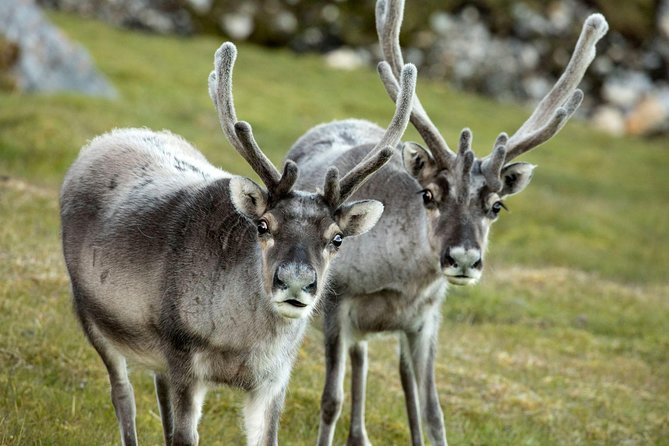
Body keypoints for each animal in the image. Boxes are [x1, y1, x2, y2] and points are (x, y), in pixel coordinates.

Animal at [59, 41, 417, 446]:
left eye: (337, 238)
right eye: (263, 225)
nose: (296, 282)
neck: (241, 345)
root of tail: (103, 140)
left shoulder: (273, 380)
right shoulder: (184, 357)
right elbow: (183, 435)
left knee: (158, 391)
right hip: (90, 315)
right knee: (123, 394)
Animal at [285, 1, 608, 445]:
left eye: (496, 206)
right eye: (429, 195)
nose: (464, 259)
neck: (399, 283)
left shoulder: (426, 320)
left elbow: (432, 409)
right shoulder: (336, 305)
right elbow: (330, 399)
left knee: (384, 369)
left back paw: (362, 434)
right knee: (358, 360)